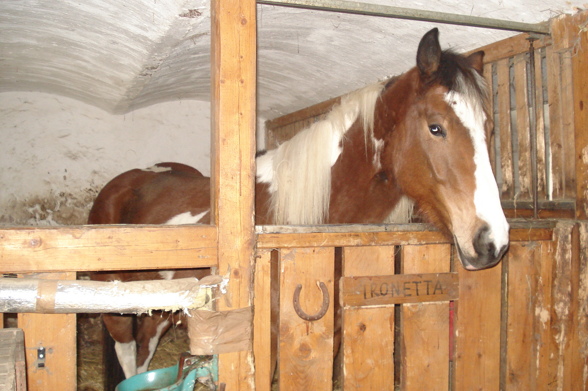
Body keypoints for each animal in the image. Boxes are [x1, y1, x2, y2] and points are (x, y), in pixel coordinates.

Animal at [87, 29, 510, 388]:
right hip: (118, 311)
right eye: (436, 127)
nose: (492, 242)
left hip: (160, 311)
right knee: (129, 356)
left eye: (490, 129)